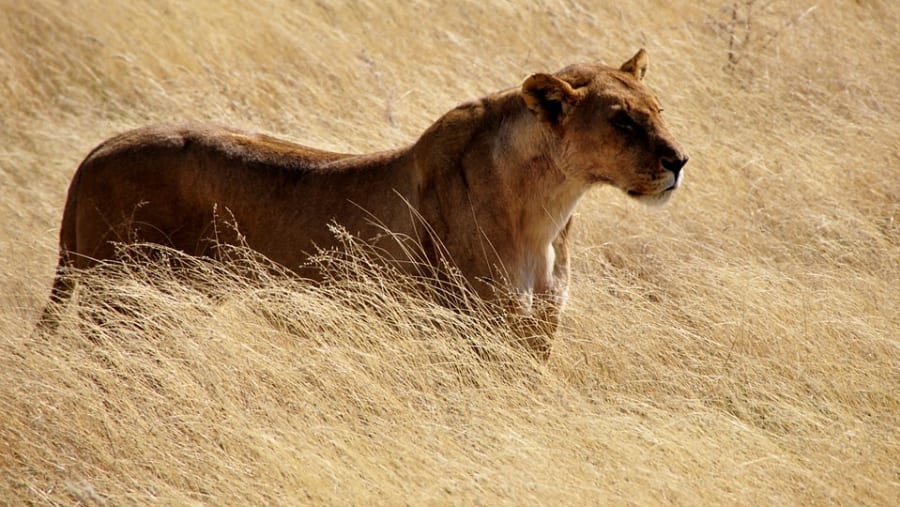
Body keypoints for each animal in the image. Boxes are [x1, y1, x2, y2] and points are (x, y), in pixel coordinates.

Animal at [39, 49, 687, 358]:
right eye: (622, 121)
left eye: (658, 109)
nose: (680, 161)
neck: (548, 208)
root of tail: (96, 151)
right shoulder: (471, 326)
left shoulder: (538, 329)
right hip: (120, 302)